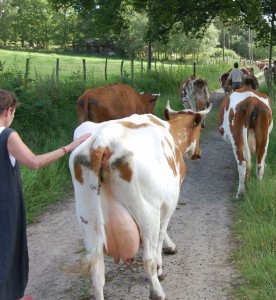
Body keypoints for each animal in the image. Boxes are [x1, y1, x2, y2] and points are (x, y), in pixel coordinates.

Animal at [68, 102, 211, 298]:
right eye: (199, 128)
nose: (198, 153)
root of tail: (100, 141)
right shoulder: (169, 202)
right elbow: (161, 233)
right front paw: (162, 264)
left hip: (88, 220)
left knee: (96, 272)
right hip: (145, 212)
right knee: (147, 258)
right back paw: (157, 292)